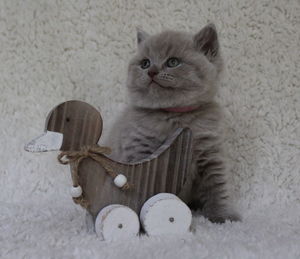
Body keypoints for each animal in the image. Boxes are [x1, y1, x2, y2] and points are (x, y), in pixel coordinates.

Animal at [106, 23, 240, 223]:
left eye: (173, 62)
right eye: (145, 63)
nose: (152, 71)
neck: (175, 116)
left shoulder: (211, 155)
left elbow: (217, 186)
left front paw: (223, 217)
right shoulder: (140, 151)